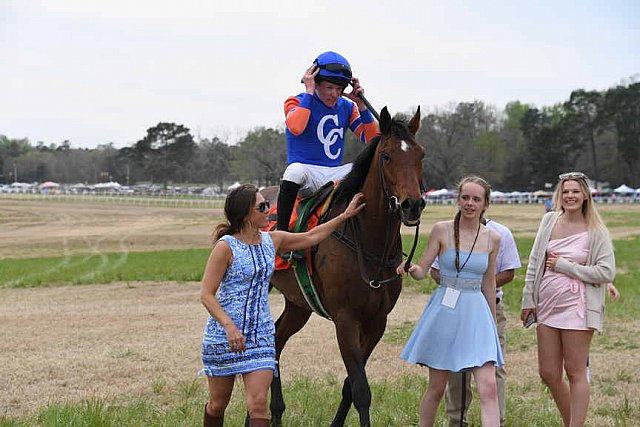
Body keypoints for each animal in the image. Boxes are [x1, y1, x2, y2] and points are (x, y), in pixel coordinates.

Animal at [264, 107, 424, 427]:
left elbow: (351, 385)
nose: (412, 205)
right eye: (386, 156)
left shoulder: (376, 321)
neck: (368, 241)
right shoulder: (345, 318)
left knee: (275, 340)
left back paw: (275, 412)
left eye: (421, 154)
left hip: (298, 304)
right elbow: (361, 389)